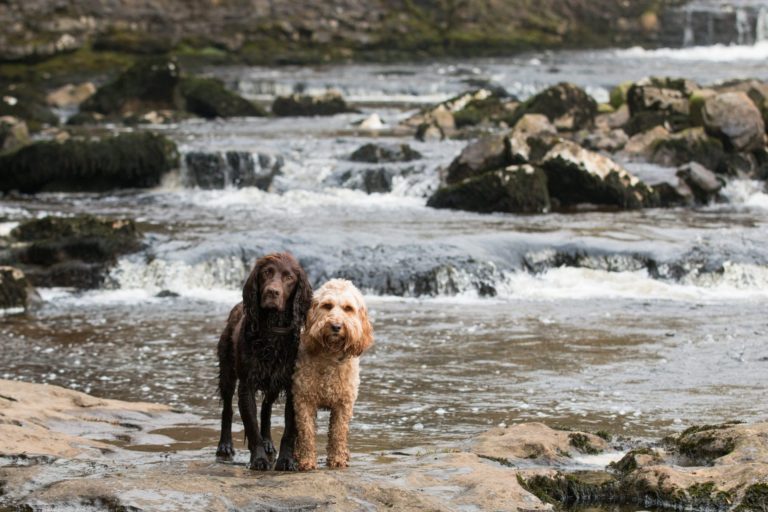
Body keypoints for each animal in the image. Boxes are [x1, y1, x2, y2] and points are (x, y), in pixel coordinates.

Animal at [214, 252, 310, 472]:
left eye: (289, 277)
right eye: (266, 273)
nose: (272, 292)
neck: (272, 331)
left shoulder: (292, 386)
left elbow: (288, 431)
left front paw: (286, 460)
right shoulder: (246, 385)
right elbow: (251, 425)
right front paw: (258, 459)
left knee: (266, 408)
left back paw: (268, 442)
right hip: (227, 372)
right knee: (227, 409)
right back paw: (225, 445)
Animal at [292, 278, 374, 470]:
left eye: (348, 308)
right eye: (327, 306)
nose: (336, 326)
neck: (330, 354)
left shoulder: (343, 404)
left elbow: (338, 432)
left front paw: (337, 460)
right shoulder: (303, 400)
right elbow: (306, 432)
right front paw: (307, 461)